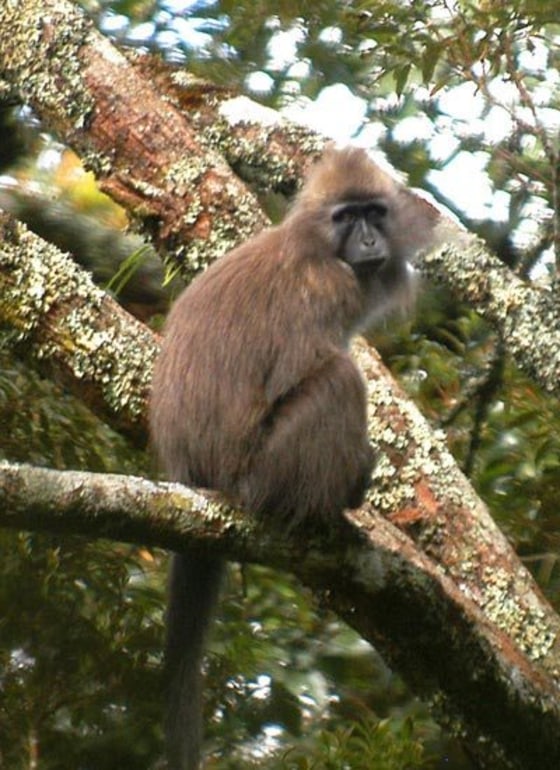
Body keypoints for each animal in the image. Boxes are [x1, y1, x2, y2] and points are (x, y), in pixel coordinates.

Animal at [149, 146, 438, 770]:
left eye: (375, 213)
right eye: (346, 218)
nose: (369, 241)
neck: (314, 246)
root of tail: (197, 477)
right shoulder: (331, 289)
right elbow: (301, 372)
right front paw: (360, 476)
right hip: (264, 472)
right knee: (338, 378)